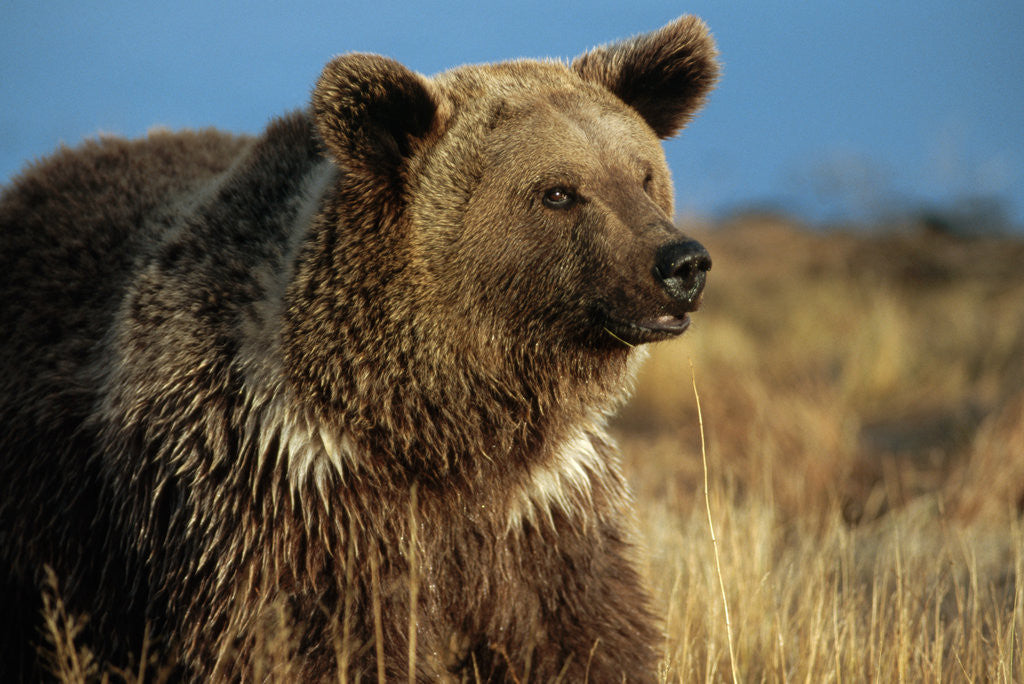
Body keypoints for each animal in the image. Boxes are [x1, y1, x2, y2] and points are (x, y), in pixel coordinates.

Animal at [0, 15, 717, 682]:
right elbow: (313, 643)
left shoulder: (542, 506)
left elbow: (583, 631)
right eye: (559, 192)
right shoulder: (291, 503)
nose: (681, 263)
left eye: (642, 175)